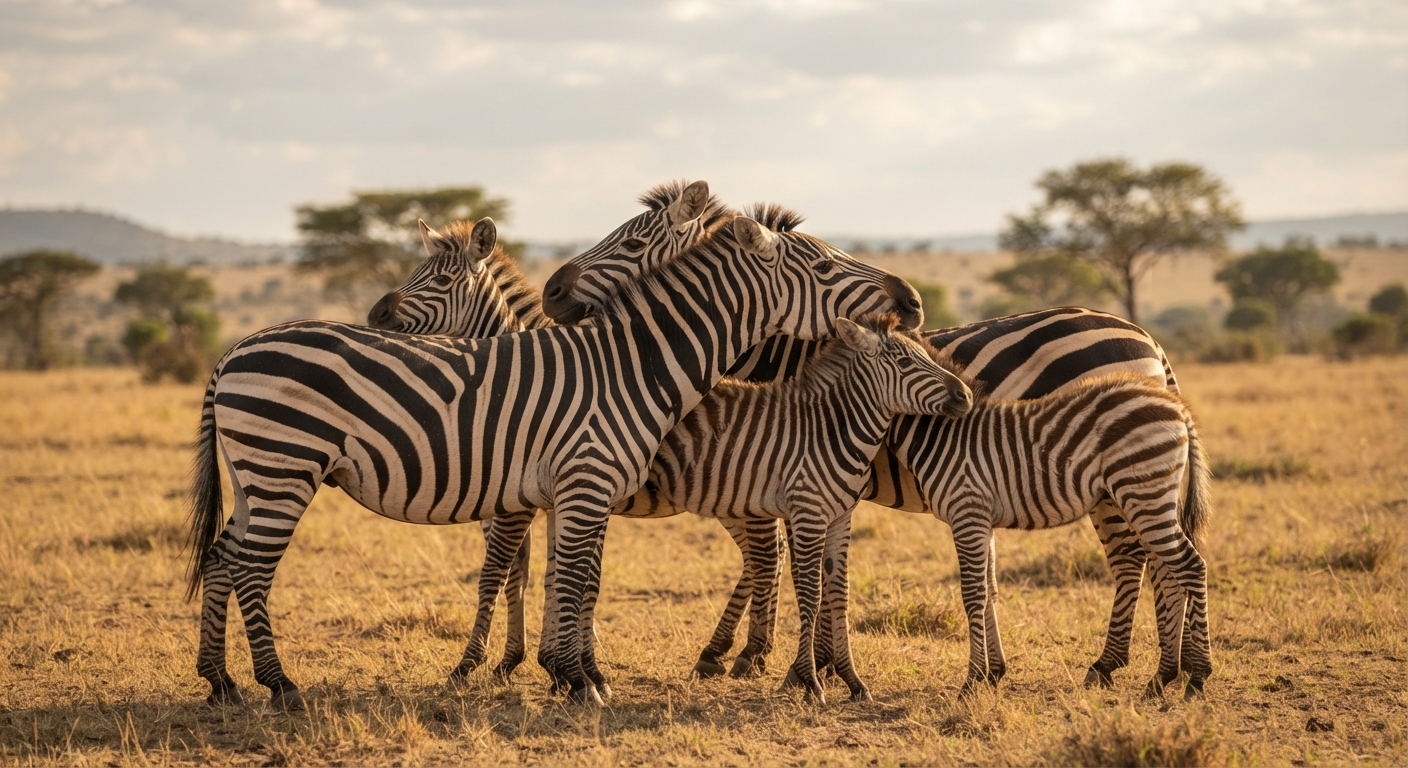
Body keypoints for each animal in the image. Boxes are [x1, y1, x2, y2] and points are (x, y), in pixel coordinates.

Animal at [185, 208, 924, 709]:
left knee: (222, 558)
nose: (910, 299)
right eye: (824, 266)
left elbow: (573, 579)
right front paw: (570, 678)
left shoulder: (572, 490)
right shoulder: (582, 482)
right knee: (249, 568)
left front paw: (569, 673)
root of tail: (232, 350)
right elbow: (563, 581)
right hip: (283, 466)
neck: (632, 367)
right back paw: (279, 685)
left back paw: (221, 682)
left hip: (257, 474)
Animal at [892, 371, 1212, 698]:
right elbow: (990, 588)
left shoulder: (967, 509)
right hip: (1147, 495)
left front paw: (973, 680)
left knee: (1189, 565)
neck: (941, 437)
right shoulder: (982, 518)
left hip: (1142, 490)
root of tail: (1175, 404)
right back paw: (1161, 676)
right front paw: (993, 672)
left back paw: (1196, 675)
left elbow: (973, 594)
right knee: (1166, 568)